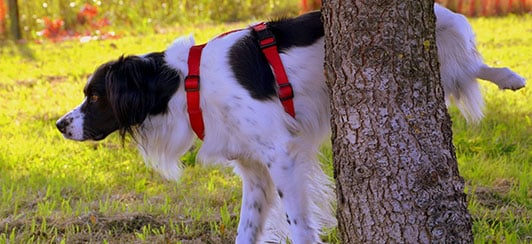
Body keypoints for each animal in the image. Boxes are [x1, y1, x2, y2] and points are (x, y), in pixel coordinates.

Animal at [56, 4, 524, 244]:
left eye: (95, 96)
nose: (60, 125)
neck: (187, 84)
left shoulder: (281, 156)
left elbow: (299, 225)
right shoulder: (254, 171)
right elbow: (247, 230)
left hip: (446, 39)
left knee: (473, 63)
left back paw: (509, 77)